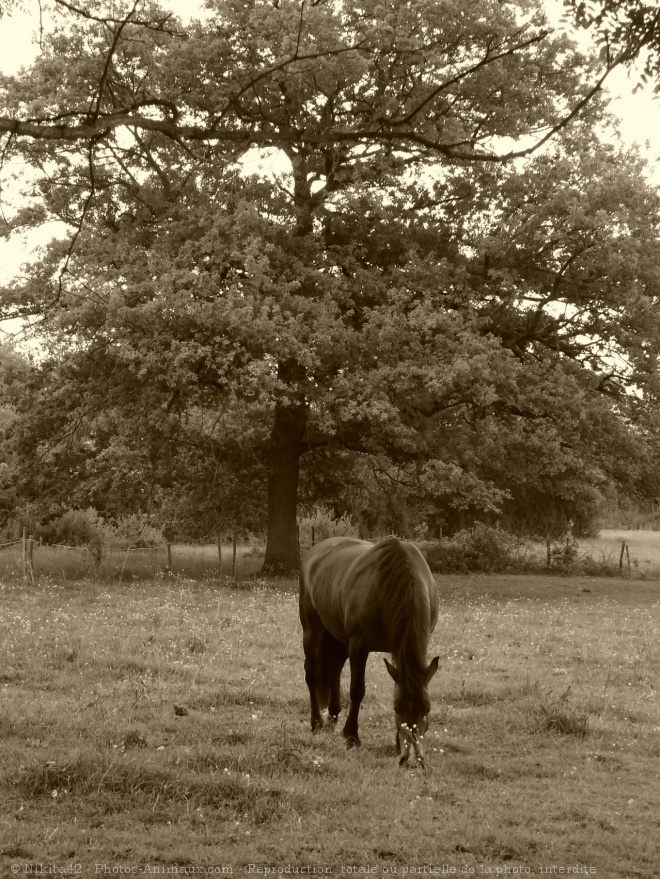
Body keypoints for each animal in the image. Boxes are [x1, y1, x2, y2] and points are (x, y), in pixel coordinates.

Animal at [300, 532, 438, 768]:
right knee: (313, 674)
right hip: (312, 629)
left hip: (338, 638)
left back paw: (333, 716)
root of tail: (314, 552)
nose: (410, 757)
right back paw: (316, 722)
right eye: (397, 709)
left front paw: (396, 743)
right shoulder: (359, 646)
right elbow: (357, 690)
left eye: (427, 709)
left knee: (334, 669)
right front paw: (351, 736)